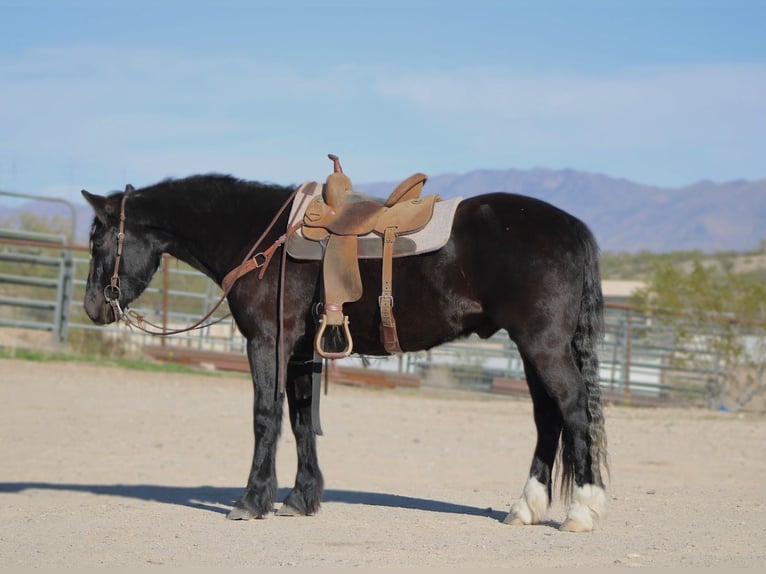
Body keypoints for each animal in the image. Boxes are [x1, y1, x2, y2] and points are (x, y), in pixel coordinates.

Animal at [81, 171, 608, 532]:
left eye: (98, 239)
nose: (92, 307)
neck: (260, 238)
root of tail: (572, 228)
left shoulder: (267, 341)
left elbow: (266, 416)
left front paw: (252, 501)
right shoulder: (300, 350)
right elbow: (300, 421)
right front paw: (300, 499)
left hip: (542, 345)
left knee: (573, 409)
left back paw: (583, 509)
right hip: (532, 349)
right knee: (547, 418)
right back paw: (526, 507)